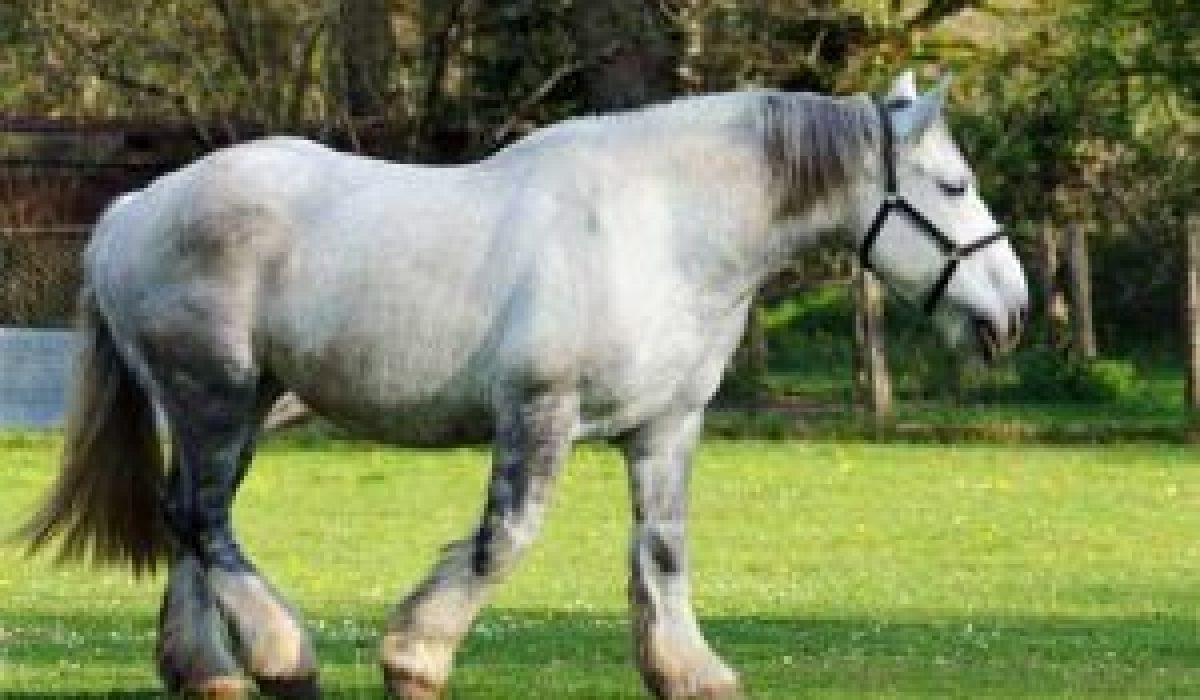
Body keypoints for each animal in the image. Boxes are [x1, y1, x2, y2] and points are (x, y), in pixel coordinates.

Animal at [21, 71, 1028, 699]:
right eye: (953, 184)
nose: (1011, 309)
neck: (662, 229)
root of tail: (133, 209)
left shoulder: (666, 428)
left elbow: (663, 552)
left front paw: (689, 671)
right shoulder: (539, 411)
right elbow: (502, 541)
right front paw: (415, 658)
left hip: (237, 408)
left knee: (192, 518)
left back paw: (208, 670)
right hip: (217, 397)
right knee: (202, 521)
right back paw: (280, 656)